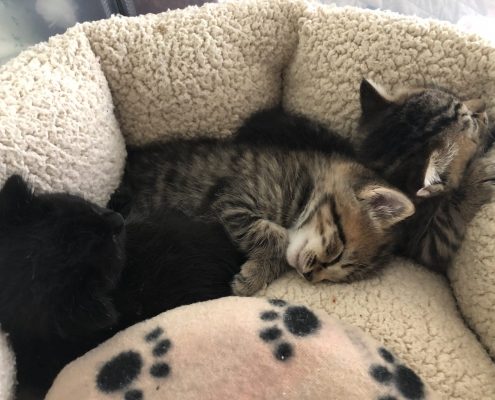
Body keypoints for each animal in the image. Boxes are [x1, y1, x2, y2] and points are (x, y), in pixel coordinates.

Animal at [122, 136, 416, 296]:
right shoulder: (233, 199)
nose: (309, 276)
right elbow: (275, 236)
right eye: (337, 252)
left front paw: (259, 272)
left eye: (335, 279)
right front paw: (252, 278)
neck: (306, 186)